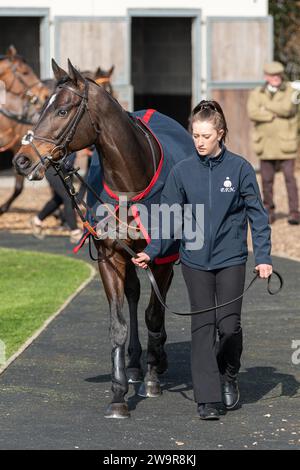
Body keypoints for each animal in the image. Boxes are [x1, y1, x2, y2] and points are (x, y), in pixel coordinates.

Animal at [14, 59, 177, 418]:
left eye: (62, 110)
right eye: (41, 106)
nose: (22, 160)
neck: (131, 181)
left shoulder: (162, 259)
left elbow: (154, 314)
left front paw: (153, 378)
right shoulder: (110, 255)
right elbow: (118, 323)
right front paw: (118, 394)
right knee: (133, 294)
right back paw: (134, 366)